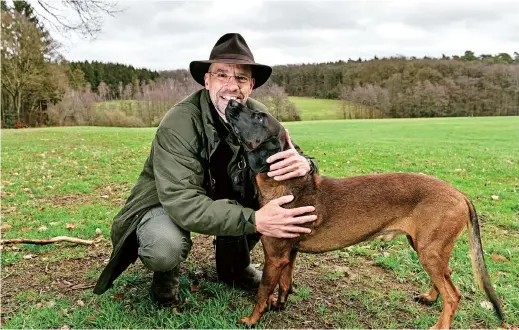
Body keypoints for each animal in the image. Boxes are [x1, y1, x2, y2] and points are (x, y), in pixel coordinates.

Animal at [225, 99, 506, 328]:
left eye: (260, 117)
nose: (231, 102)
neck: (286, 184)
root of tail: (461, 195)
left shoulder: (274, 256)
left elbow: (263, 292)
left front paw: (252, 319)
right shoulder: (288, 254)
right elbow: (284, 283)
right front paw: (280, 304)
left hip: (430, 251)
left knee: (453, 295)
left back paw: (439, 325)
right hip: (427, 248)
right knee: (447, 277)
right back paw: (429, 297)